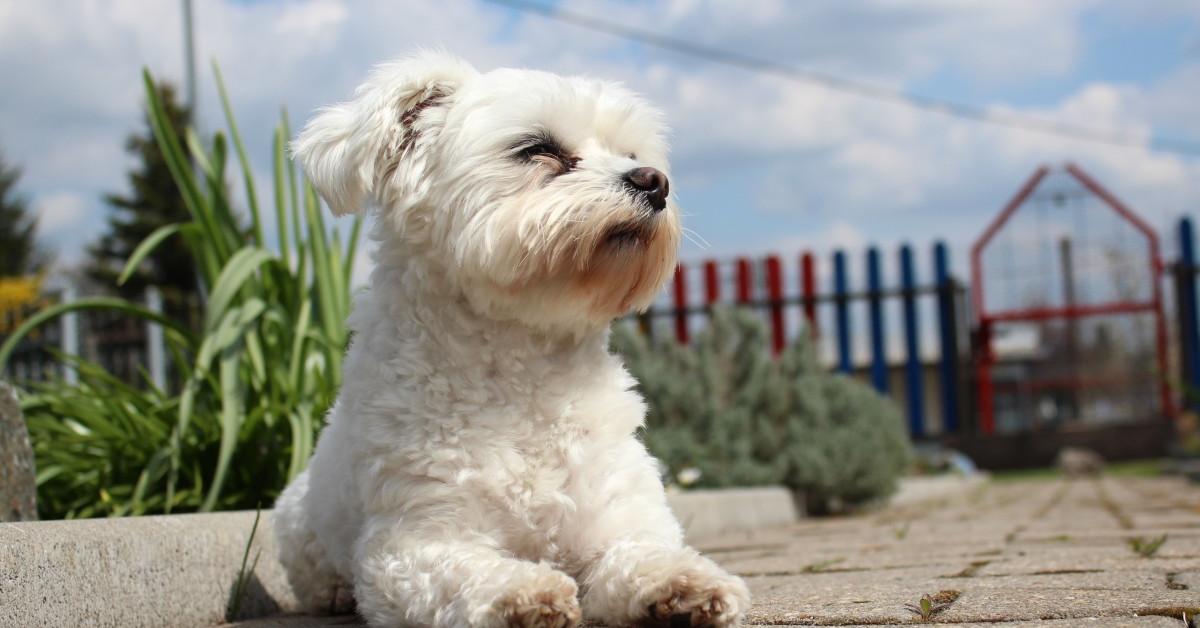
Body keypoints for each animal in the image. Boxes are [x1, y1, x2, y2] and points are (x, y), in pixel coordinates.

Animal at [274, 52, 748, 628]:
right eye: (537, 149)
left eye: (632, 154)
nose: (654, 181)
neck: (526, 371)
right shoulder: (413, 542)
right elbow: (464, 572)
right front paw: (521, 592)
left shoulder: (616, 514)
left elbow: (642, 552)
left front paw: (682, 583)